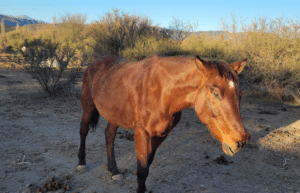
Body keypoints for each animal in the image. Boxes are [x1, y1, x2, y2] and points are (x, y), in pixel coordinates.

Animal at [78, 53, 251, 192]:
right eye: (215, 93)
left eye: (240, 94)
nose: (240, 142)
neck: (162, 93)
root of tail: (94, 63)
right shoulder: (141, 133)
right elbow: (141, 169)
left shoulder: (161, 134)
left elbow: (147, 166)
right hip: (88, 107)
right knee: (83, 131)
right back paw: (81, 163)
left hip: (115, 114)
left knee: (109, 135)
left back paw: (114, 171)